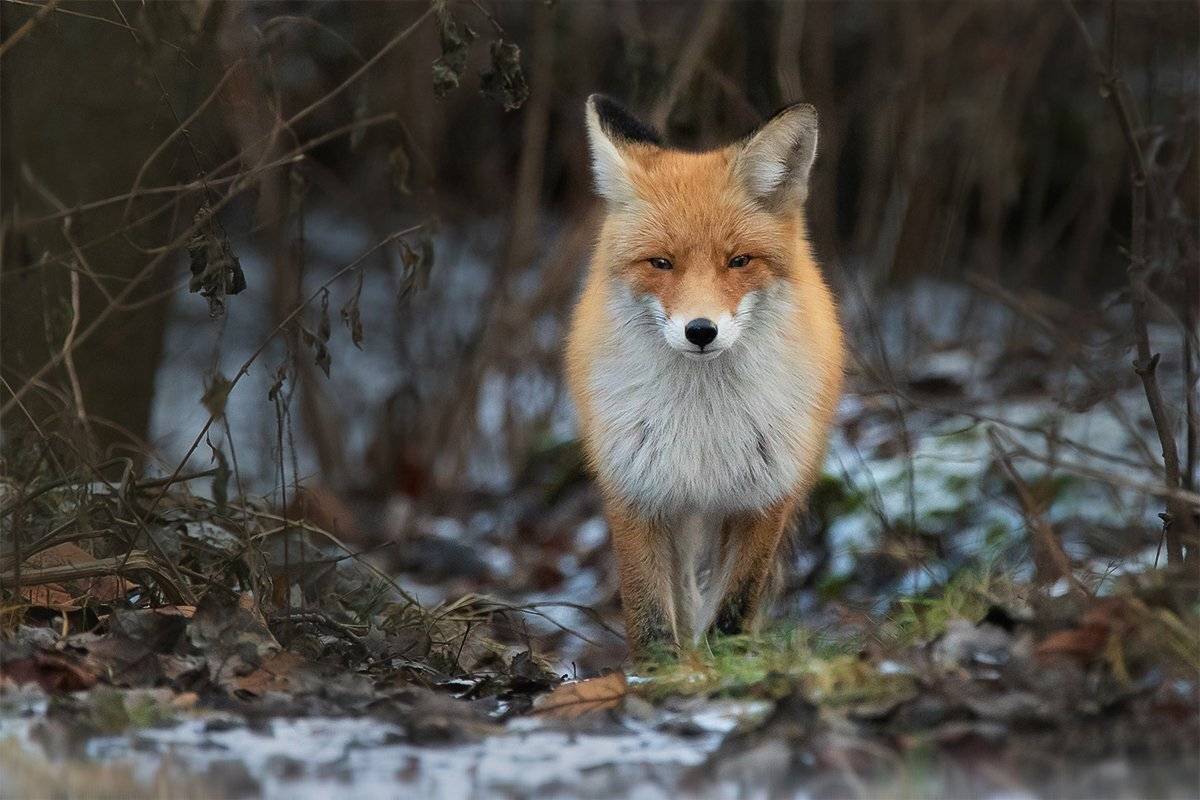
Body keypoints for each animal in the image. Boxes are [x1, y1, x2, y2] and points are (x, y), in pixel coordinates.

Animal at [565, 95, 844, 654]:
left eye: (738, 261)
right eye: (660, 263)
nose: (700, 331)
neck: (703, 421)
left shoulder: (765, 497)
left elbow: (734, 609)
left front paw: (726, 660)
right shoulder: (637, 492)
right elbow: (651, 616)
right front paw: (658, 669)